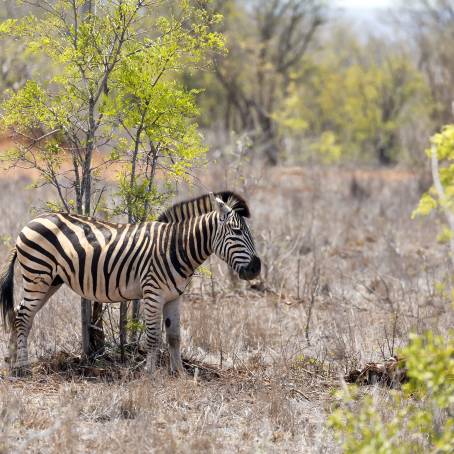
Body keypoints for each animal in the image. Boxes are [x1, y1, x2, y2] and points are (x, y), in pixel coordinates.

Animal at [0, 192, 260, 372]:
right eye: (237, 232)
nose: (256, 268)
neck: (174, 247)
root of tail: (31, 222)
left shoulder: (174, 296)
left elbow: (174, 336)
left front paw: (180, 374)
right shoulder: (153, 293)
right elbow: (153, 338)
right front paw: (149, 374)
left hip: (50, 281)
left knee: (20, 314)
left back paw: (13, 362)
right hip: (38, 275)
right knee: (23, 316)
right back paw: (23, 367)